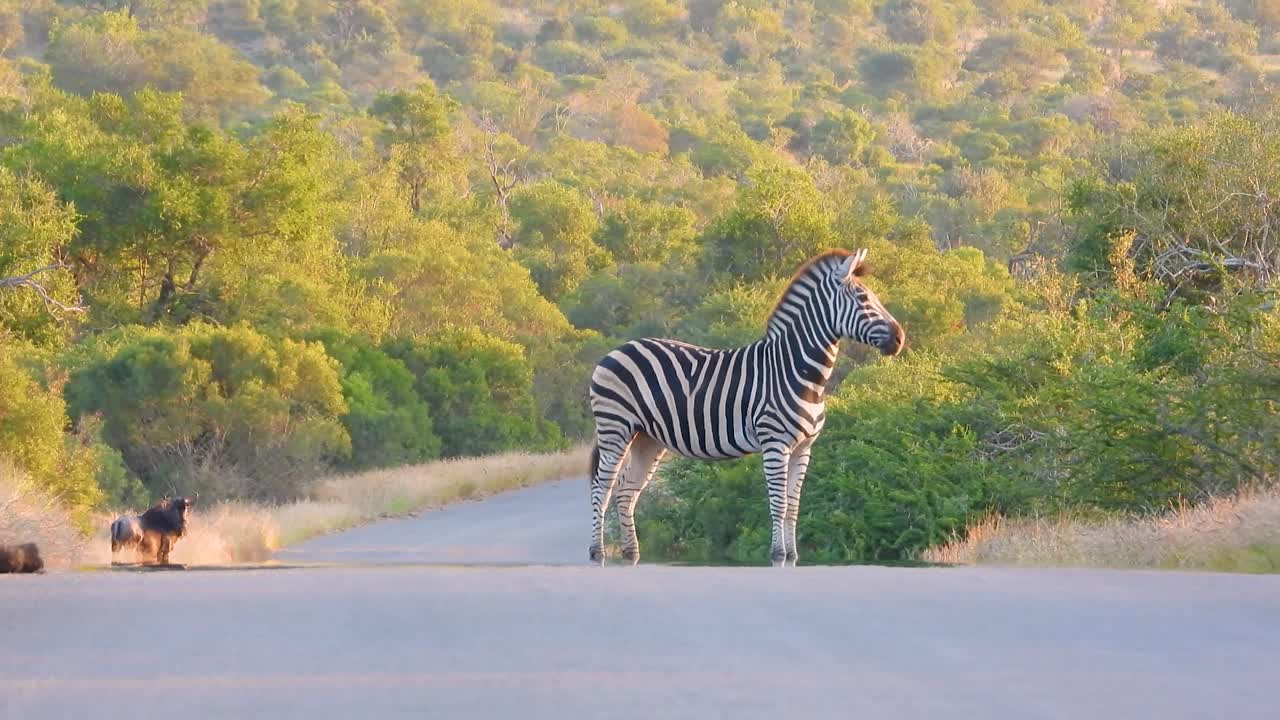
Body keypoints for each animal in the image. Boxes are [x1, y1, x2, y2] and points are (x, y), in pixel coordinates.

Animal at [587, 248, 904, 566]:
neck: (796, 371)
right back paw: (598, 552)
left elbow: (793, 506)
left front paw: (793, 557)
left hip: (648, 438)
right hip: (616, 427)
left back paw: (631, 554)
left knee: (626, 490)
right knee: (602, 487)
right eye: (863, 298)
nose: (900, 338)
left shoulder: (803, 448)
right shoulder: (775, 443)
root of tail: (617, 350)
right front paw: (778, 555)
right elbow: (778, 503)